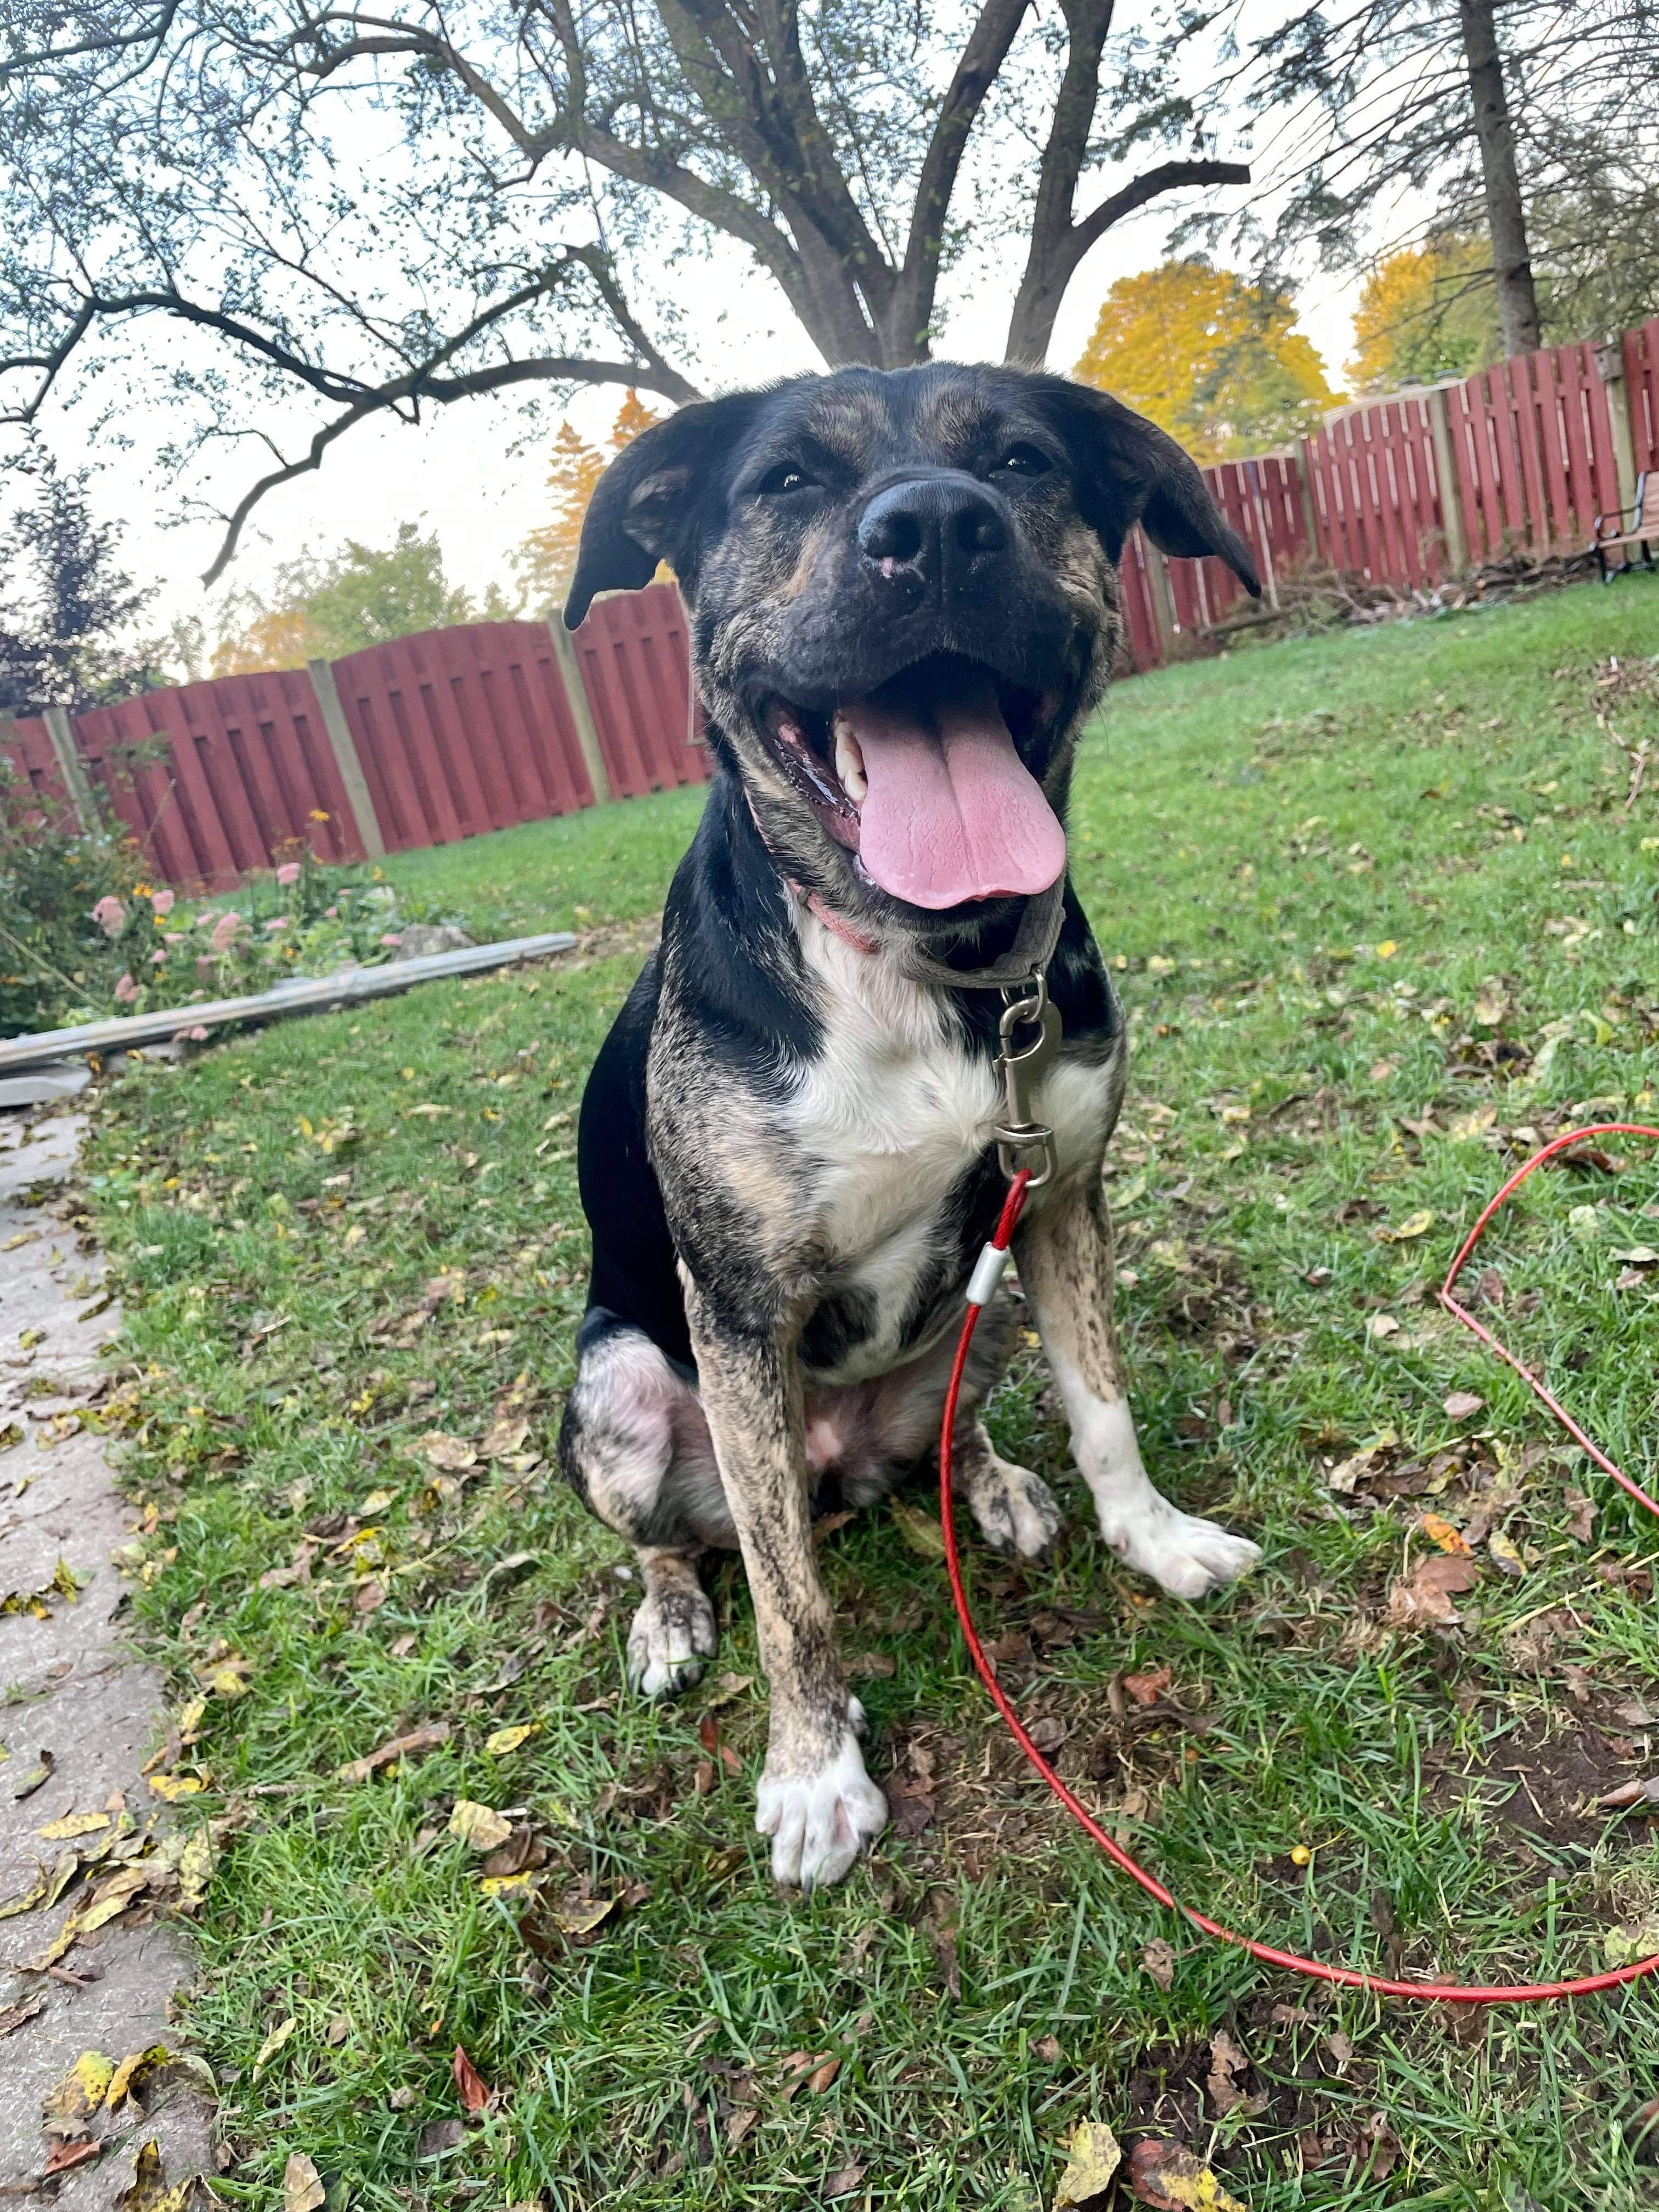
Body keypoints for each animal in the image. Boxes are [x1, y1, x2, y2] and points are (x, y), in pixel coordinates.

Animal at [555, 363, 1256, 1884]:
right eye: (785, 482)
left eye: (1023, 460)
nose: (937, 528)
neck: (926, 967)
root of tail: (843, 1467)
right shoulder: (736, 1309)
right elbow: (784, 1593)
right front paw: (815, 1770)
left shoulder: (1062, 1198)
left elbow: (1105, 1407)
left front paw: (1154, 1539)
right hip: (619, 1387)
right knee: (680, 1537)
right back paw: (668, 1615)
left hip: (977, 1320)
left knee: (951, 1432)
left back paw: (990, 1485)